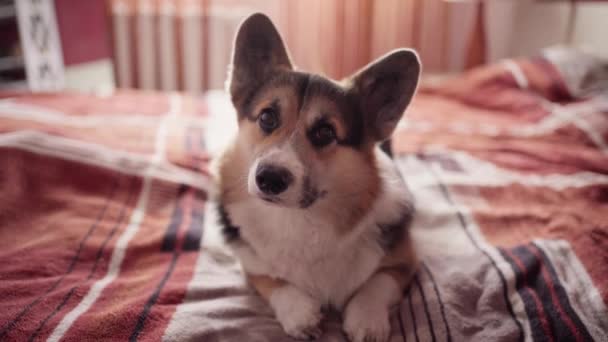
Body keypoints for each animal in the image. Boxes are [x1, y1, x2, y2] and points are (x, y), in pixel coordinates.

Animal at [216, 13, 420, 342]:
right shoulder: (252, 266)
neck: (298, 219)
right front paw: (301, 314)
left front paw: (367, 320)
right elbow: (276, 282)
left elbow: (376, 283)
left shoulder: (405, 263)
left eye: (325, 132)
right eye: (267, 117)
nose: (269, 178)